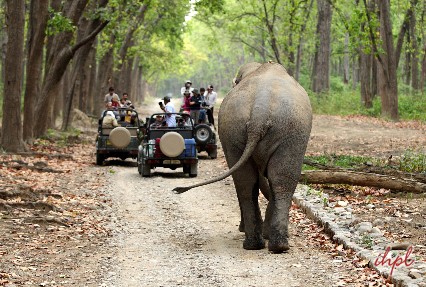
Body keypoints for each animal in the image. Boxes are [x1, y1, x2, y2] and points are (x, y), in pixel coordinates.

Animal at [174, 62, 312, 253]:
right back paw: (271, 245)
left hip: (283, 129)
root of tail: (260, 113)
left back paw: (265, 244)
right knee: (270, 180)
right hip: (273, 130)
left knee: (254, 181)